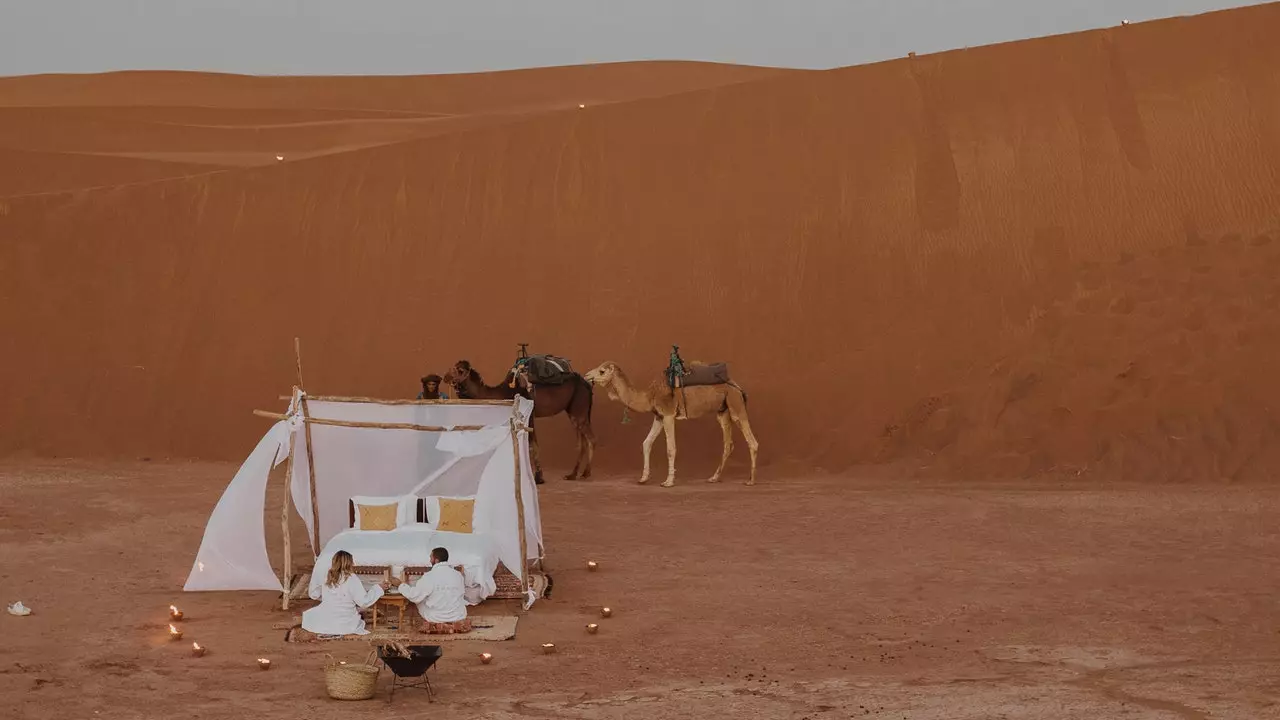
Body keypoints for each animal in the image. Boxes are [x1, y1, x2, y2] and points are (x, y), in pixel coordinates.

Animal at [442, 358, 596, 481]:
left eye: (460, 370)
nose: (445, 377)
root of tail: (587, 384)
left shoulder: (529, 414)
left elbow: (532, 445)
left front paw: (538, 477)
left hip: (579, 406)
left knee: (590, 438)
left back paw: (586, 473)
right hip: (573, 410)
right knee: (582, 441)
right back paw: (573, 474)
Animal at [583, 361, 752, 484]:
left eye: (602, 371)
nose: (586, 375)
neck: (649, 395)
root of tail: (736, 385)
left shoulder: (669, 414)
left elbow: (671, 448)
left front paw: (668, 481)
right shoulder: (659, 416)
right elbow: (646, 443)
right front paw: (643, 478)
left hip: (736, 403)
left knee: (751, 441)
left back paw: (751, 480)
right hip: (723, 410)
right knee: (728, 444)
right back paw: (714, 478)